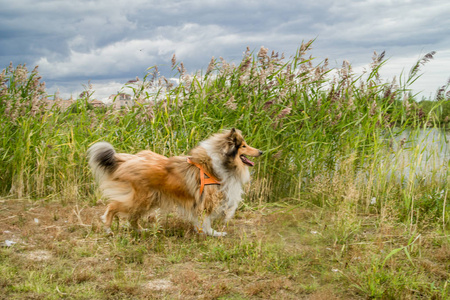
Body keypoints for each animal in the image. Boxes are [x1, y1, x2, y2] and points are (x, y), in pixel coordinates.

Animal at [87, 129, 262, 237]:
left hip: (147, 200)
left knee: (132, 218)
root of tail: (126, 160)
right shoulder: (206, 201)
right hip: (140, 199)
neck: (219, 163)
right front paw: (212, 233)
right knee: (112, 206)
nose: (261, 152)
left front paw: (204, 232)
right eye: (244, 146)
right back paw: (108, 229)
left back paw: (142, 231)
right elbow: (206, 220)